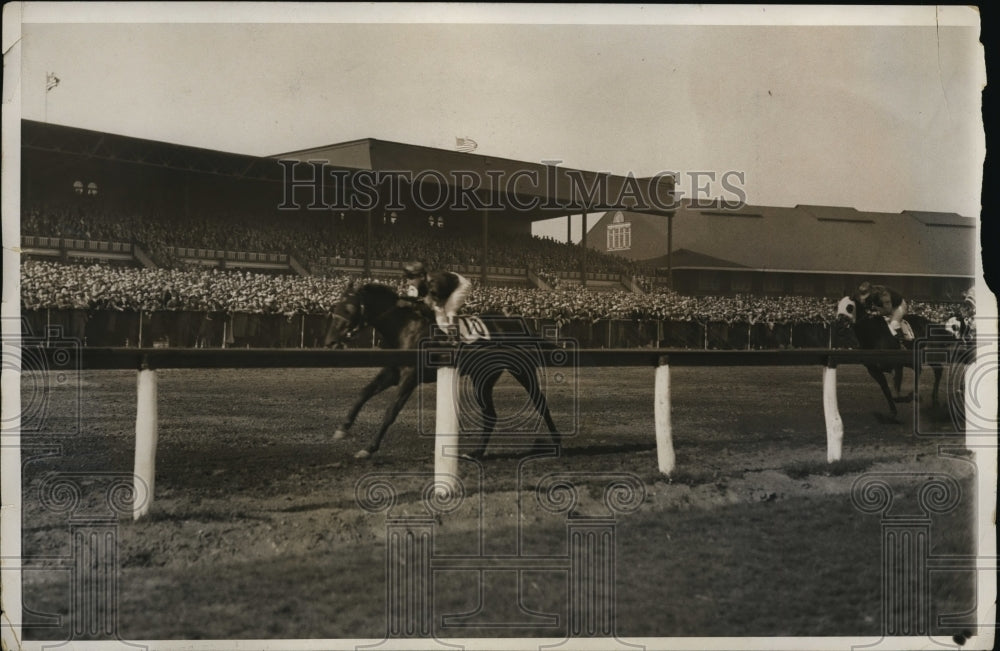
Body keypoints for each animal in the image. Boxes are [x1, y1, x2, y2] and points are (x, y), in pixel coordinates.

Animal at [322, 284, 564, 458]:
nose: (330, 342)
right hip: (482, 377)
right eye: (334, 310)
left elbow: (391, 411)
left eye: (349, 309)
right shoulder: (392, 372)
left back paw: (558, 442)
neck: (405, 327)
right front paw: (342, 428)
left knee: (540, 403)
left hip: (521, 370)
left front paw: (369, 448)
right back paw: (477, 452)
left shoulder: (411, 376)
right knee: (490, 414)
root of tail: (517, 324)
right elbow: (363, 393)